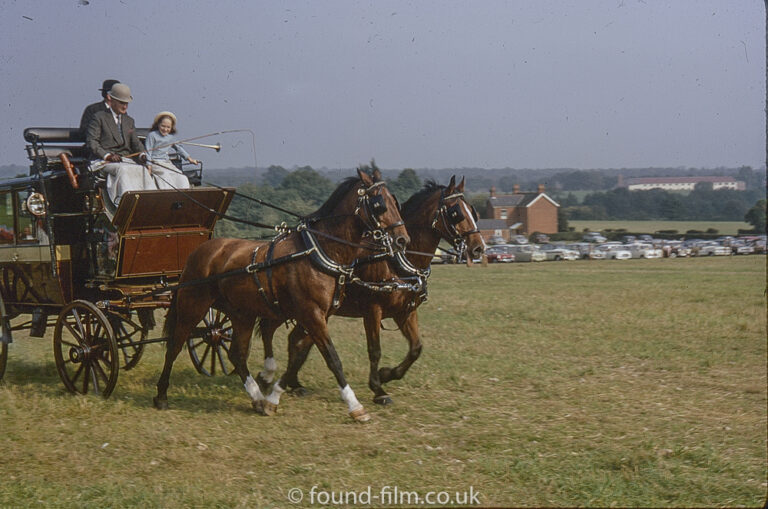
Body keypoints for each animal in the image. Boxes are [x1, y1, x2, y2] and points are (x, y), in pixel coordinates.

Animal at [153, 167, 412, 420]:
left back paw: (257, 398)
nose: (403, 240)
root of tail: (200, 252)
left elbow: (297, 356)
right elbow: (332, 358)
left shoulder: (319, 316)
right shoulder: (312, 314)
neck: (319, 251)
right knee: (175, 345)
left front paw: (273, 397)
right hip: (193, 306)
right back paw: (161, 395)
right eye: (380, 204)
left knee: (237, 354)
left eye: (395, 201)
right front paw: (355, 405)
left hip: (241, 314)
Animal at [260, 176, 486, 404]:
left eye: (472, 211)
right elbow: (375, 349)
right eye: (456, 212)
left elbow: (416, 348)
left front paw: (387, 374)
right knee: (270, 330)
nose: (479, 247)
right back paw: (267, 377)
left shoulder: (405, 311)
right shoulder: (372, 310)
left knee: (295, 341)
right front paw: (378, 389)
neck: (395, 259)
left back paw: (294, 383)